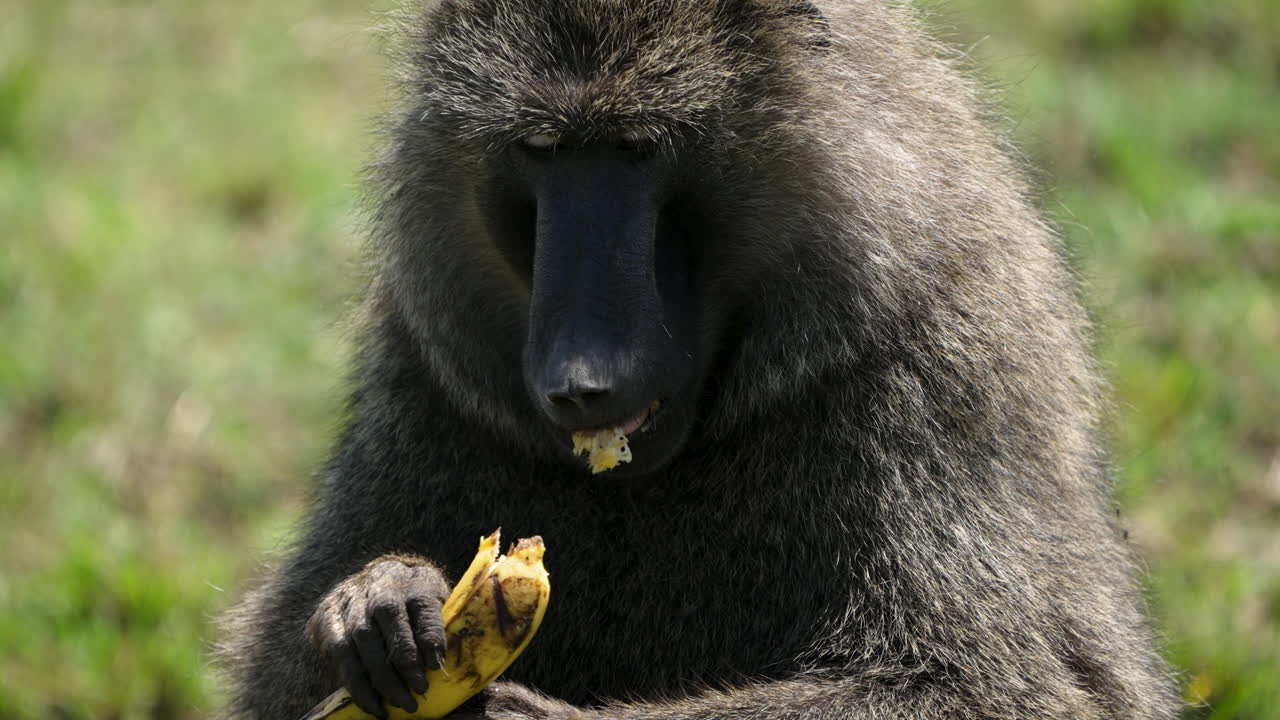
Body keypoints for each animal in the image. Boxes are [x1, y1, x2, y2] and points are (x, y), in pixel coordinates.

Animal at [217, 1, 1180, 719]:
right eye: (541, 150)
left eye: (639, 146)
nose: (579, 382)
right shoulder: (425, 368)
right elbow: (271, 684)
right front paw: (377, 598)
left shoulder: (938, 371)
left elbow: (995, 688)